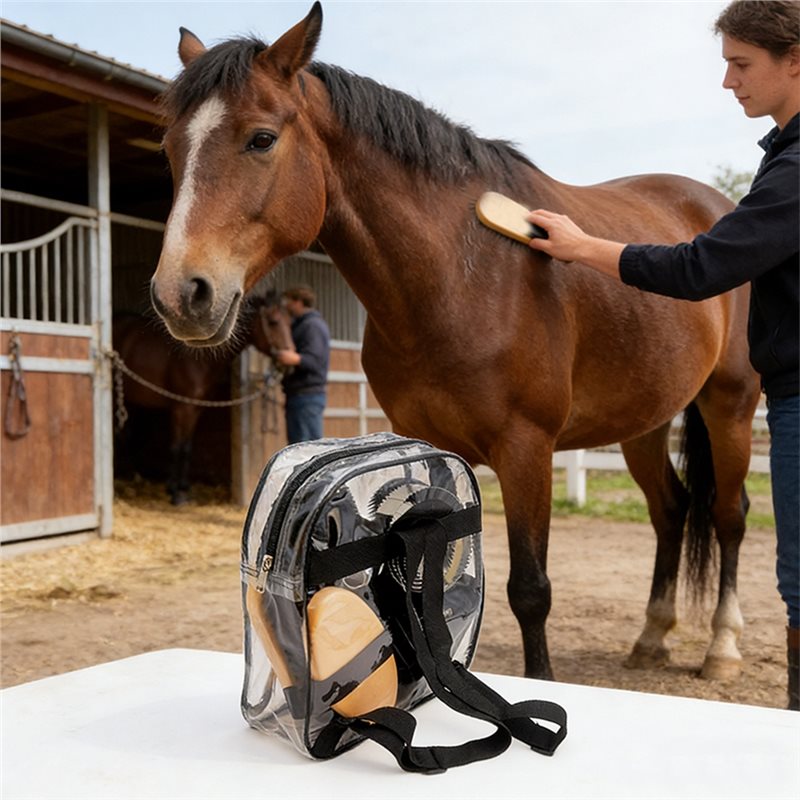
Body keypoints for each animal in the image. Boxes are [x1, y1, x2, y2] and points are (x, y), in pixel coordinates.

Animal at [113, 292, 292, 504]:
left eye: (290, 322)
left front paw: (183, 488)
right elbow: (177, 447)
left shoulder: (196, 409)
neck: (197, 359)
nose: (290, 361)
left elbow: (188, 448)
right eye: (273, 322)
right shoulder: (181, 409)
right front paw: (175, 493)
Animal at [150, 3, 760, 680]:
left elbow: (530, 589)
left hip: (730, 404)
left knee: (729, 517)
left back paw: (722, 646)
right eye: (171, 148)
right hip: (644, 422)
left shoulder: (527, 449)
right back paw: (652, 637)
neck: (460, 278)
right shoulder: (425, 444)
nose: (181, 294)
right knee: (671, 510)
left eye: (261, 138)